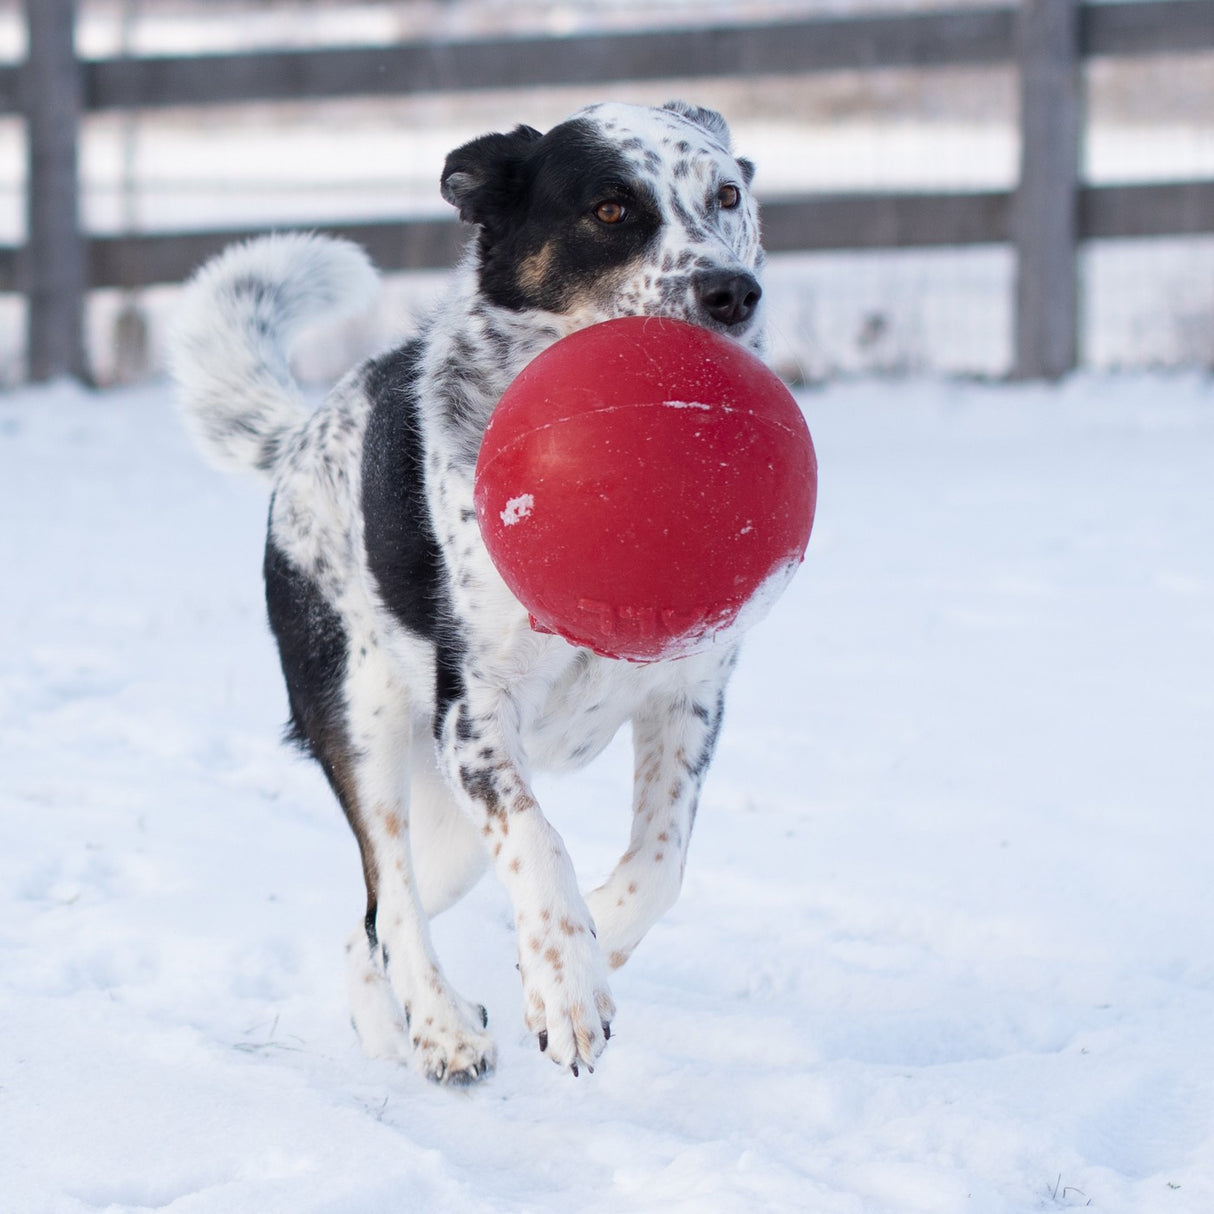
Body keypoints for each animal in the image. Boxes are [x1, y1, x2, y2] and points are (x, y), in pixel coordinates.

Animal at [169, 101, 762, 1082]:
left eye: (727, 196)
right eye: (610, 208)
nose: (734, 292)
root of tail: (302, 435)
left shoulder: (689, 698)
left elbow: (661, 860)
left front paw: (601, 935)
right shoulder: (476, 718)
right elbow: (538, 836)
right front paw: (566, 985)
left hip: (448, 827)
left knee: (365, 924)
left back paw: (395, 1030)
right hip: (364, 723)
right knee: (392, 891)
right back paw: (442, 1025)